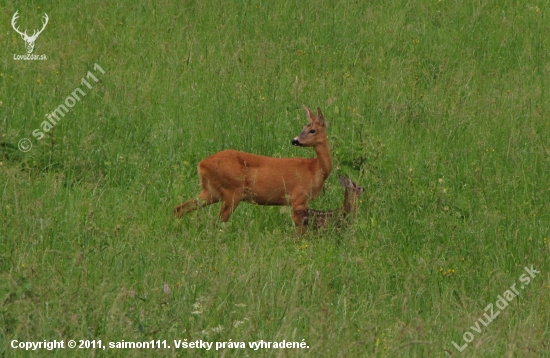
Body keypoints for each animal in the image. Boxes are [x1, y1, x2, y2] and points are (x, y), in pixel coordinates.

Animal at [175, 103, 334, 235]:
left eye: (312, 130)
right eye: (304, 128)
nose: (295, 140)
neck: (315, 170)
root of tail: (201, 164)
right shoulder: (298, 197)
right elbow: (300, 228)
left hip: (211, 191)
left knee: (180, 208)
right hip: (232, 191)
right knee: (218, 221)